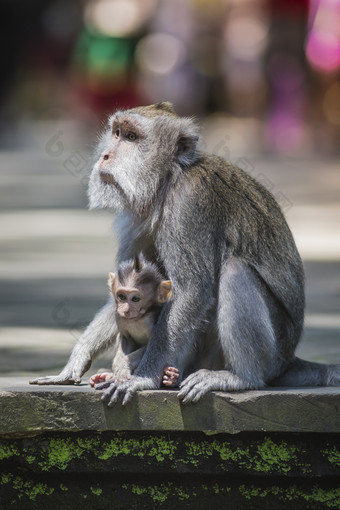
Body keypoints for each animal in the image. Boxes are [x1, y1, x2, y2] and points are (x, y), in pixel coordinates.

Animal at [89, 253, 181, 388]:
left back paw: (171, 377)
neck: (138, 318)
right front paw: (118, 367)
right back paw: (104, 377)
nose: (126, 309)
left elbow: (153, 345)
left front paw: (123, 366)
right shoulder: (119, 317)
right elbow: (126, 339)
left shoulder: (149, 320)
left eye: (135, 299)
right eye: (122, 296)